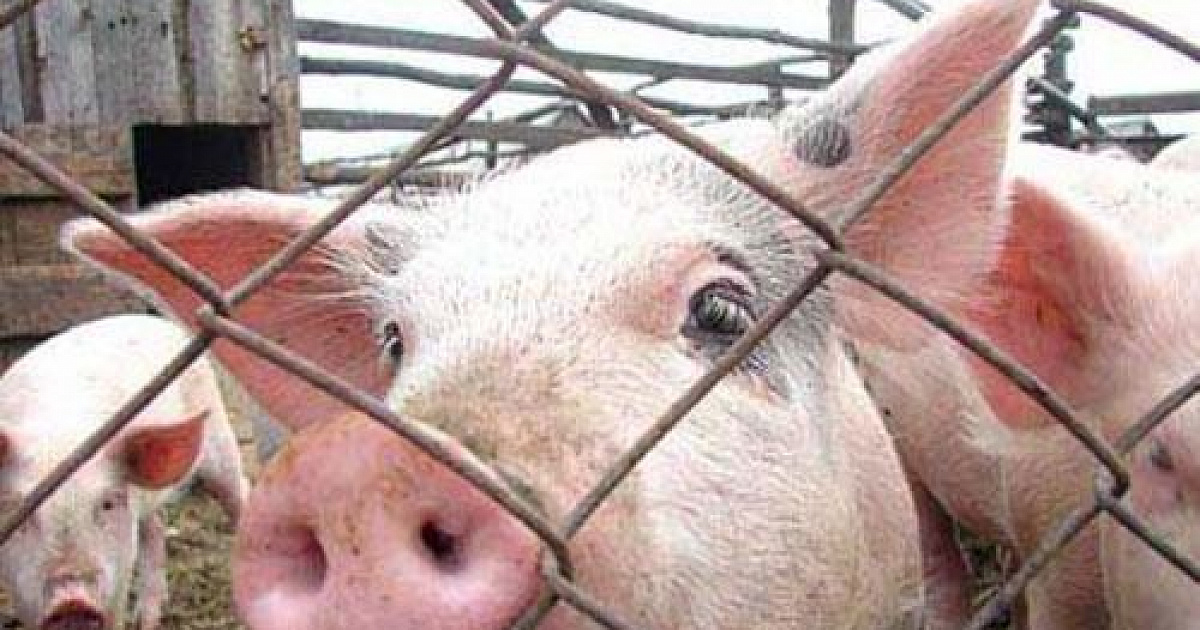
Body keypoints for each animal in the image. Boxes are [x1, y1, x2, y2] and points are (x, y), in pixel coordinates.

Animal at [0, 314, 249, 630]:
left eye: (108, 503)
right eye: (17, 510)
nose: (72, 602)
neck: (60, 434)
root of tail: (154, 320)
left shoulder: (120, 568)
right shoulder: (17, 582)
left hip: (219, 438)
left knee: (239, 491)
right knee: (156, 525)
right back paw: (147, 619)